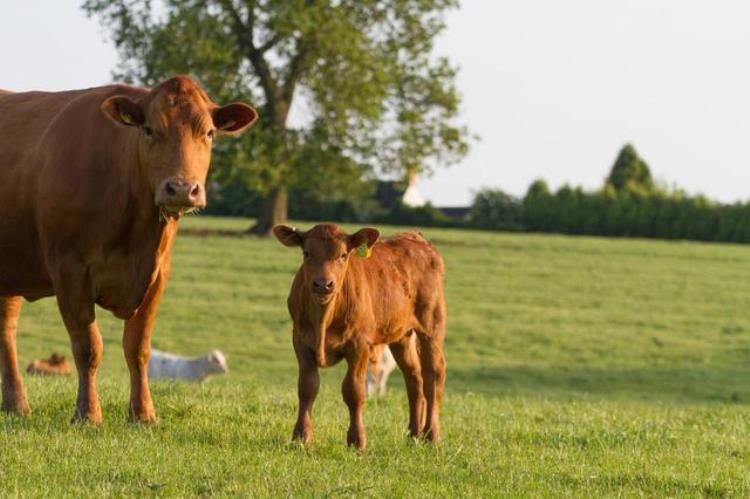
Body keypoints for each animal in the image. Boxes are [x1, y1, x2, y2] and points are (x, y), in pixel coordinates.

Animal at [0, 76, 258, 424]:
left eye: (209, 133)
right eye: (149, 129)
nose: (181, 189)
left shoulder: (158, 273)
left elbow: (138, 347)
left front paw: (143, 414)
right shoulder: (70, 270)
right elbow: (88, 347)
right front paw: (88, 414)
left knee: (6, 329)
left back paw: (15, 404)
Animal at [274, 223, 446, 450]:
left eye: (343, 254)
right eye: (307, 253)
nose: (323, 284)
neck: (324, 319)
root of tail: (415, 238)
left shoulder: (359, 345)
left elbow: (354, 391)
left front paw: (357, 441)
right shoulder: (301, 341)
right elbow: (307, 387)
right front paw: (301, 437)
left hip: (431, 327)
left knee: (433, 374)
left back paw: (431, 435)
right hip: (401, 337)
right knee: (414, 376)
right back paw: (413, 434)